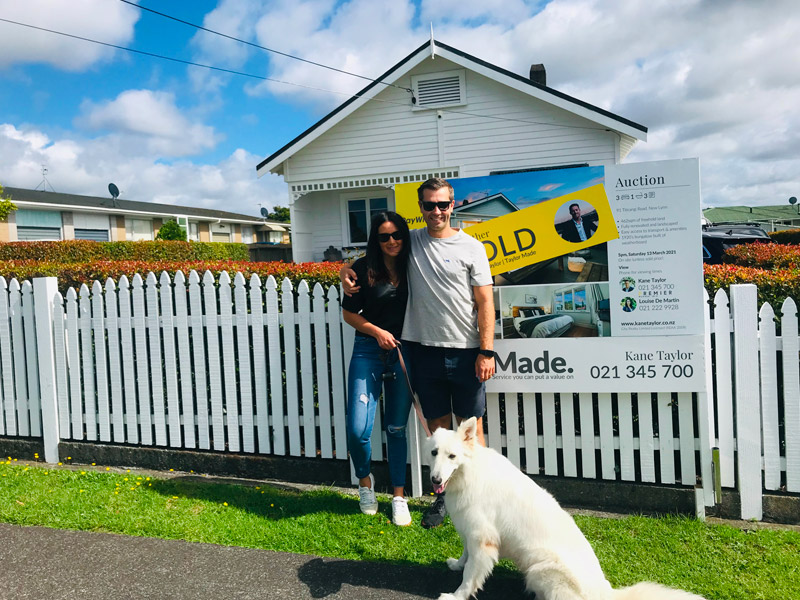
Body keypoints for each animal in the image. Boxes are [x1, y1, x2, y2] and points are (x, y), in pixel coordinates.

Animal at [427, 417, 707, 600]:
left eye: (452, 457)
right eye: (434, 453)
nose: (435, 480)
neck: (469, 473)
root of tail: (606, 594)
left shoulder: (483, 540)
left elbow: (471, 576)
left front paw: (455, 596)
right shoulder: (470, 533)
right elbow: (465, 558)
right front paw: (457, 565)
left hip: (539, 569)